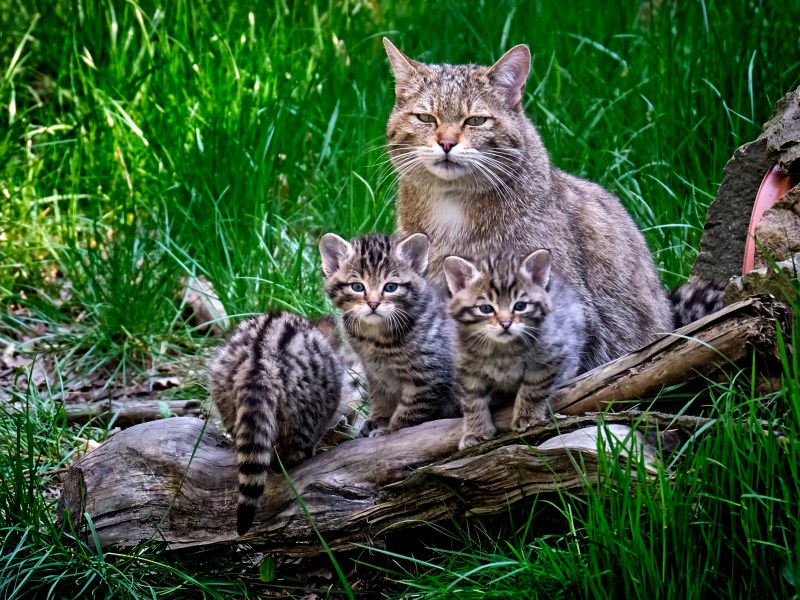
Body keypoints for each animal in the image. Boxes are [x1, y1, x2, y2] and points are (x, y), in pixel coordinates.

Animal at [318, 231, 460, 436]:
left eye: (391, 287)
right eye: (357, 287)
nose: (373, 304)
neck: (376, 338)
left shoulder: (430, 374)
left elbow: (411, 409)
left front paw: (391, 429)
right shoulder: (373, 371)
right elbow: (379, 397)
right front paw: (377, 419)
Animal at [440, 250, 584, 450]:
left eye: (520, 306)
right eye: (486, 308)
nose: (506, 323)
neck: (502, 350)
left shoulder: (549, 354)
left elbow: (533, 389)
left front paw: (528, 417)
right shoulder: (466, 367)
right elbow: (472, 401)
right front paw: (475, 431)